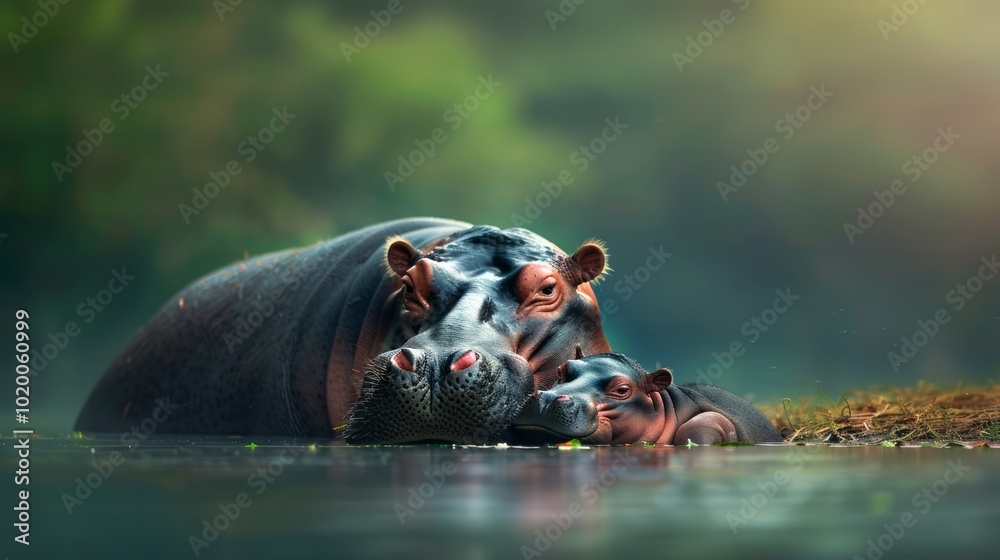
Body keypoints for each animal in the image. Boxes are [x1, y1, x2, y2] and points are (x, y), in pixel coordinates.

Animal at [511, 351, 782, 444]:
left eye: (622, 390)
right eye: (563, 369)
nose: (547, 398)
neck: (668, 406)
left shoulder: (711, 420)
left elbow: (699, 424)